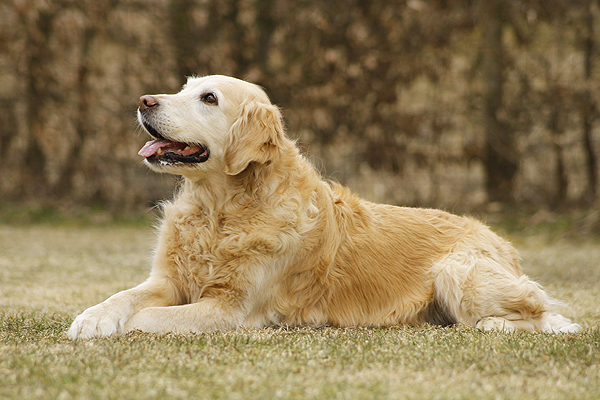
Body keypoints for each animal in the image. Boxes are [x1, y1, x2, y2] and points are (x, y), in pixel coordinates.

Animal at [68, 74, 580, 338]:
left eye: (208, 98)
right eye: (182, 87)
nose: (144, 100)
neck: (219, 209)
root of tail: (503, 242)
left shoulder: (230, 309)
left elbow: (144, 318)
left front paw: (117, 327)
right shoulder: (168, 280)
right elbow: (124, 296)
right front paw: (92, 318)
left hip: (458, 270)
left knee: (541, 315)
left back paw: (496, 325)